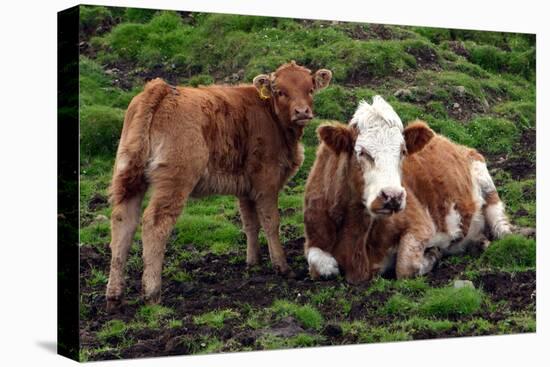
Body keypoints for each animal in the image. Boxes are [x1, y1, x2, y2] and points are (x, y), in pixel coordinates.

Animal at [106, 61, 332, 310]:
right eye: (281, 91)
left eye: (310, 89)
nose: (302, 112)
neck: (269, 116)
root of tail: (161, 90)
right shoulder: (266, 181)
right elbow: (271, 222)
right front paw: (282, 266)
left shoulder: (246, 187)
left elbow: (250, 223)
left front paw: (253, 262)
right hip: (174, 181)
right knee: (155, 224)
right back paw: (153, 292)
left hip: (129, 176)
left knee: (123, 221)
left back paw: (114, 294)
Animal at [304, 96, 512, 284]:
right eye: (362, 152)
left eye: (403, 152)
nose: (392, 196)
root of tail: (455, 144)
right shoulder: (314, 237)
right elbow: (321, 265)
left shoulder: (421, 225)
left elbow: (405, 266)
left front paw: (433, 254)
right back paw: (478, 243)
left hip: (484, 178)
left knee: (500, 223)